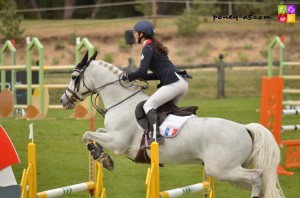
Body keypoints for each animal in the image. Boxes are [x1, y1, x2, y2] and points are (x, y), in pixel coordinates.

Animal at [59, 51, 284, 197]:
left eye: (74, 76)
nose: (63, 100)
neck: (121, 101)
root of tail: (245, 129)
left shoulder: (118, 142)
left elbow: (87, 135)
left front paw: (102, 157)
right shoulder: (112, 134)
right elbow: (95, 131)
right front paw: (103, 158)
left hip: (222, 169)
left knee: (258, 177)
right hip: (229, 174)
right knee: (261, 184)